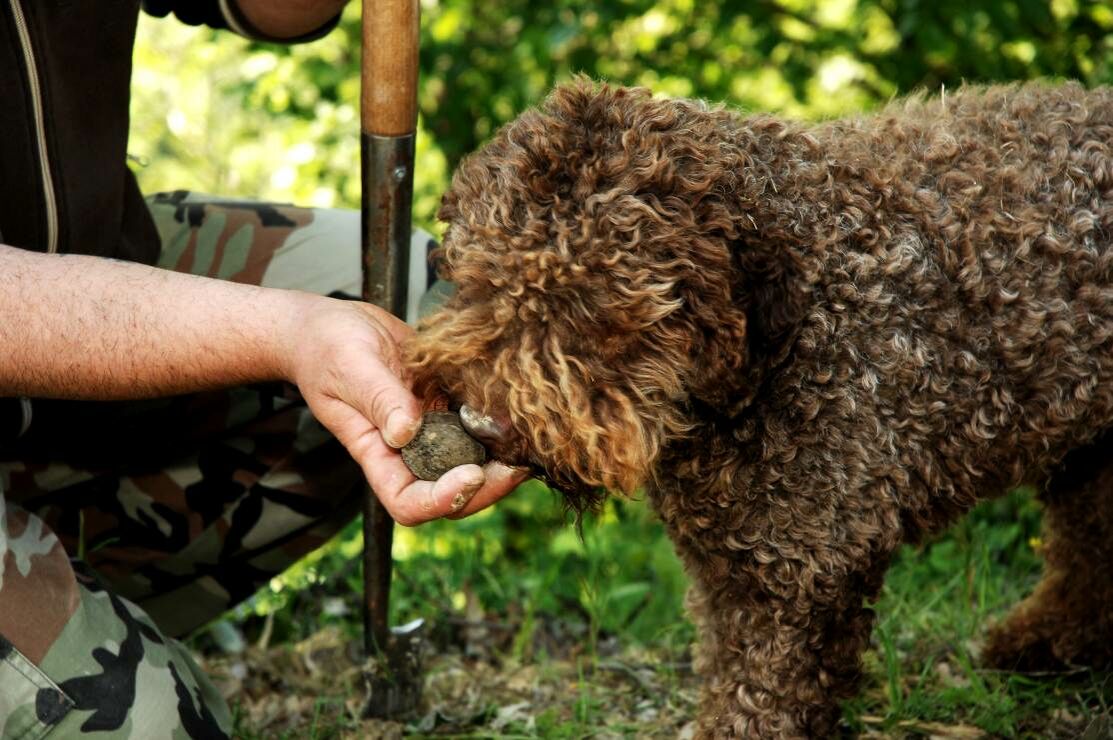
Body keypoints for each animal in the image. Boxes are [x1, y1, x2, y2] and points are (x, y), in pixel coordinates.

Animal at [407, 77, 1113, 734]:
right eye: (481, 280)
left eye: (594, 307)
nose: (481, 422)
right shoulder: (726, 563)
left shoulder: (801, 567)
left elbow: (762, 696)